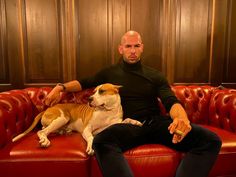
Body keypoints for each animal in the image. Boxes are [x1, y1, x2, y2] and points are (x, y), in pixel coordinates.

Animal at [12, 83, 142, 155]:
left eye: (102, 91)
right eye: (94, 91)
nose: (89, 98)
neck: (107, 111)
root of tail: (47, 109)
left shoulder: (112, 124)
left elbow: (126, 120)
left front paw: (135, 121)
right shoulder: (87, 129)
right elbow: (91, 137)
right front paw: (90, 147)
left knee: (46, 128)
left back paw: (63, 131)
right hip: (63, 117)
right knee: (42, 131)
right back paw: (45, 140)